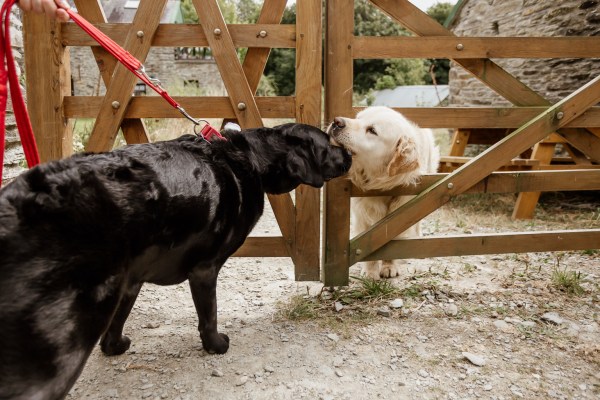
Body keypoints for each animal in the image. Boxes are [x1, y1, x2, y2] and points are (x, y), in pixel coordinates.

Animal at [0, 123, 352, 398]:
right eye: (328, 144)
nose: (349, 155)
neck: (251, 158)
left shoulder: (131, 279)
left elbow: (118, 322)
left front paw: (115, 346)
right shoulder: (205, 269)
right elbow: (209, 316)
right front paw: (216, 345)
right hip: (64, 345)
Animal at [328, 107, 440, 282]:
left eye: (372, 130)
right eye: (358, 118)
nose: (336, 121)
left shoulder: (402, 214)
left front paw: (389, 267)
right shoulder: (363, 215)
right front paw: (370, 271)